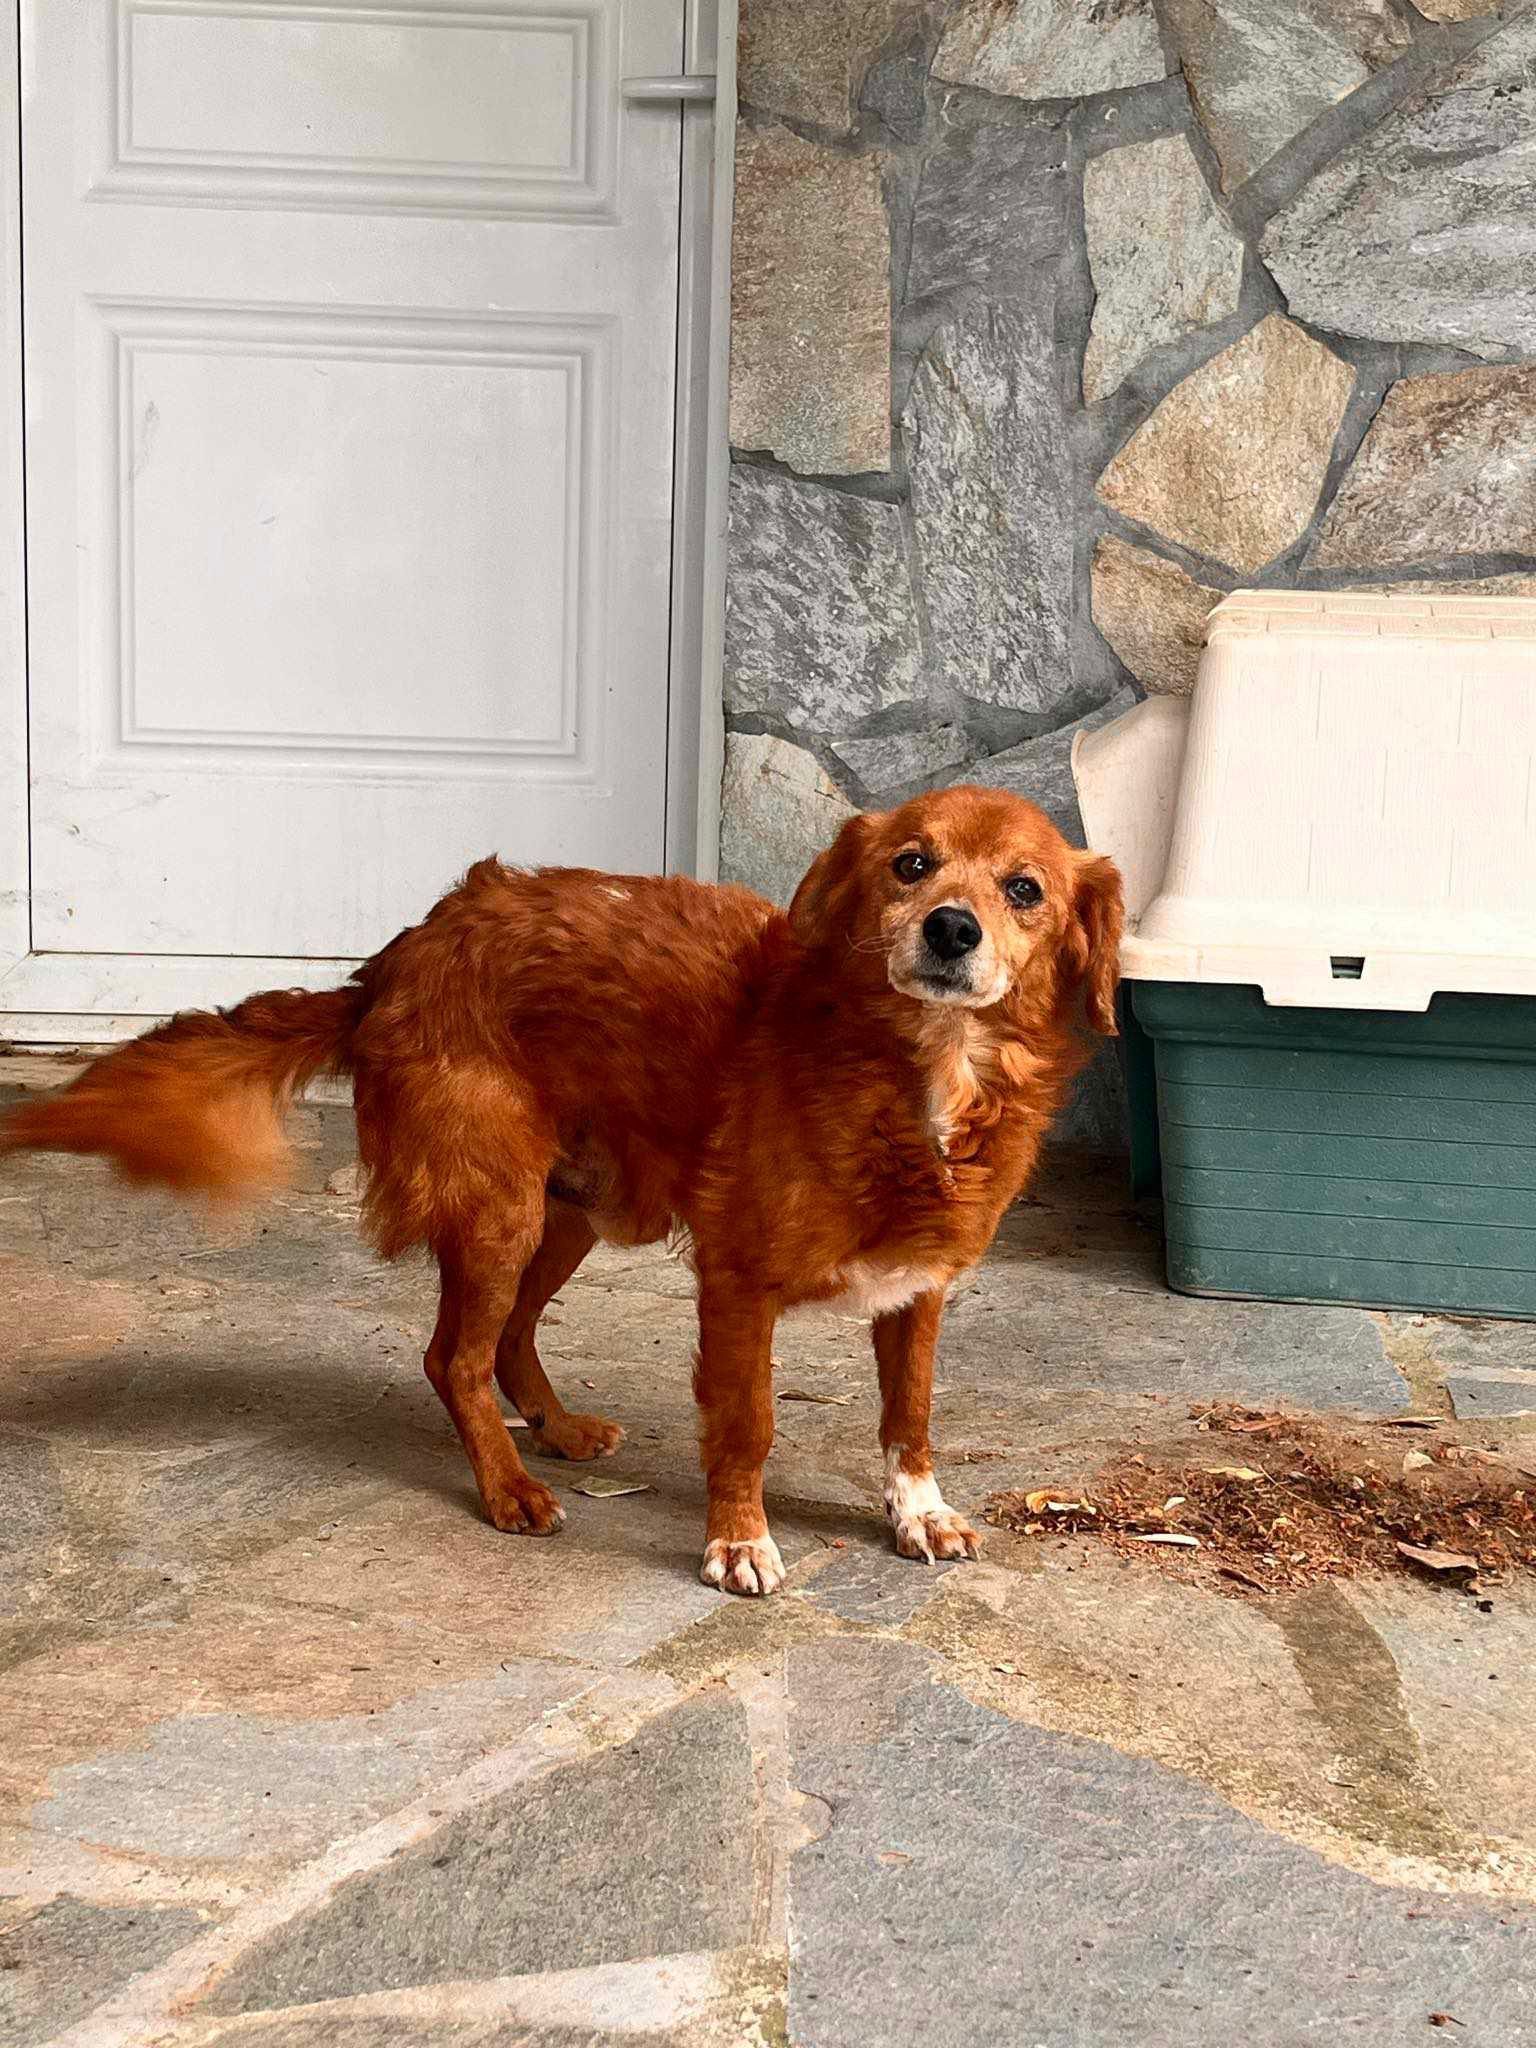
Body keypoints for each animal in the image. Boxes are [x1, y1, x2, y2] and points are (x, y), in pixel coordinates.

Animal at [2, 785, 1122, 1595]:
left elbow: (912, 1413)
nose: (950, 930)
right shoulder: (739, 1282)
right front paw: (738, 1542)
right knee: (452, 1355)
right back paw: (510, 1486)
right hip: (502, 1206)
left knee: (505, 1336)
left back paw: (558, 1427)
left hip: (569, 1210)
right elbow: (748, 1424)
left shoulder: (921, 1286)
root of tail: (395, 959)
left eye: (1025, 889)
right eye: (909, 864)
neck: (911, 1070)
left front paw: (918, 1510)